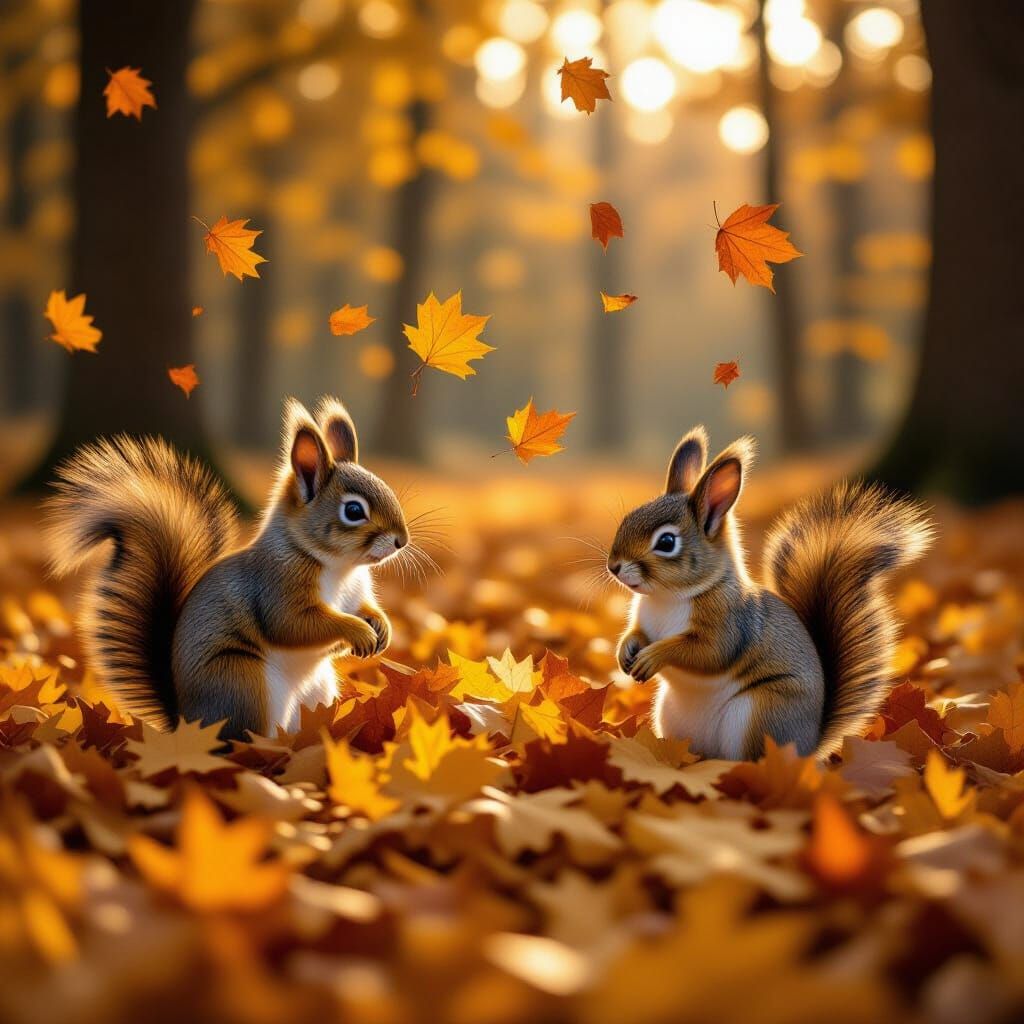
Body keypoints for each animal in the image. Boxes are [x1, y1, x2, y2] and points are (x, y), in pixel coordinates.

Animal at [45, 396, 409, 741]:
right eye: (353, 511)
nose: (401, 541)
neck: (339, 567)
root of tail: (186, 723)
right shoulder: (276, 585)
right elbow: (293, 624)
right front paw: (357, 631)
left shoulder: (355, 593)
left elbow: (363, 608)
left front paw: (382, 625)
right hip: (241, 682)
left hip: (316, 692)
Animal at [608, 426, 932, 761]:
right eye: (630, 516)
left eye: (667, 542)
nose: (613, 566)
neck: (667, 597)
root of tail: (808, 746)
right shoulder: (645, 620)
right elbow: (637, 633)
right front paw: (625, 650)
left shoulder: (730, 623)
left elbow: (708, 652)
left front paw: (654, 655)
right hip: (671, 715)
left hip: (760, 713)